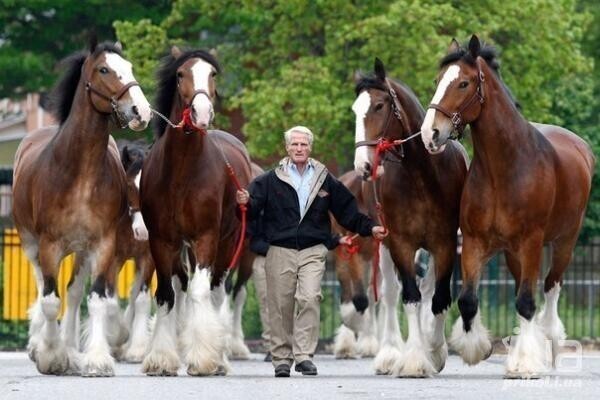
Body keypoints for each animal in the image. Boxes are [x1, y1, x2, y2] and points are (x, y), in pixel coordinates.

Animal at [12, 39, 152, 376]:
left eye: (129, 67)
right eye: (104, 70)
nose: (140, 111)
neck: (81, 175)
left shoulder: (103, 245)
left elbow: (97, 299)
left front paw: (97, 358)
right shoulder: (49, 245)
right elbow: (50, 301)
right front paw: (51, 356)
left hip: (81, 251)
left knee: (74, 293)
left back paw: (72, 348)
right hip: (32, 244)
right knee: (42, 287)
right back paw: (42, 344)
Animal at [140, 46, 251, 376]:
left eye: (212, 73)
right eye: (180, 74)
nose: (202, 113)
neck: (181, 171)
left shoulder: (206, 238)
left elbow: (201, 293)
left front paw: (203, 359)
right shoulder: (162, 241)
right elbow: (166, 295)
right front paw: (161, 359)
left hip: (227, 245)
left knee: (215, 292)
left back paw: (220, 358)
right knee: (182, 290)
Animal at [352, 58, 468, 376]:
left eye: (379, 105)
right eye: (354, 109)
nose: (363, 165)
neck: (422, 176)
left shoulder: (444, 243)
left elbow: (438, 298)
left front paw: (435, 351)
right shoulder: (401, 243)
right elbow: (410, 297)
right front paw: (414, 358)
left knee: (428, 289)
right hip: (383, 243)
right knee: (392, 293)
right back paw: (390, 352)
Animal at [422, 35, 596, 378]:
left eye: (463, 83)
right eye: (438, 81)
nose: (430, 133)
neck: (504, 168)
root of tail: (580, 147)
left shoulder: (530, 242)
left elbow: (528, 302)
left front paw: (525, 364)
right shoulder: (475, 242)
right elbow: (468, 300)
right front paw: (477, 348)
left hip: (563, 243)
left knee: (550, 288)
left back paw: (549, 344)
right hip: (516, 254)